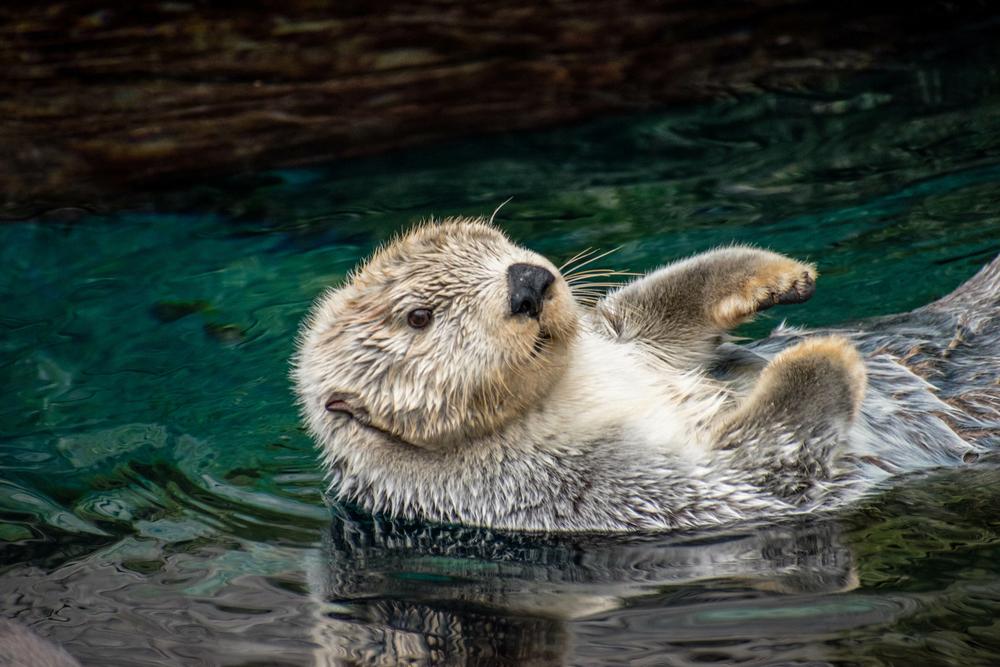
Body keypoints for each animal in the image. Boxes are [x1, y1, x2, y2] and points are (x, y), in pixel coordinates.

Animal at [292, 219, 1000, 532]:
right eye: (419, 317)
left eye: (496, 242)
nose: (528, 281)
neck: (566, 396)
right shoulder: (585, 490)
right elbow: (767, 462)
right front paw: (822, 355)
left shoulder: (627, 339)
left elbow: (665, 301)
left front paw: (778, 275)